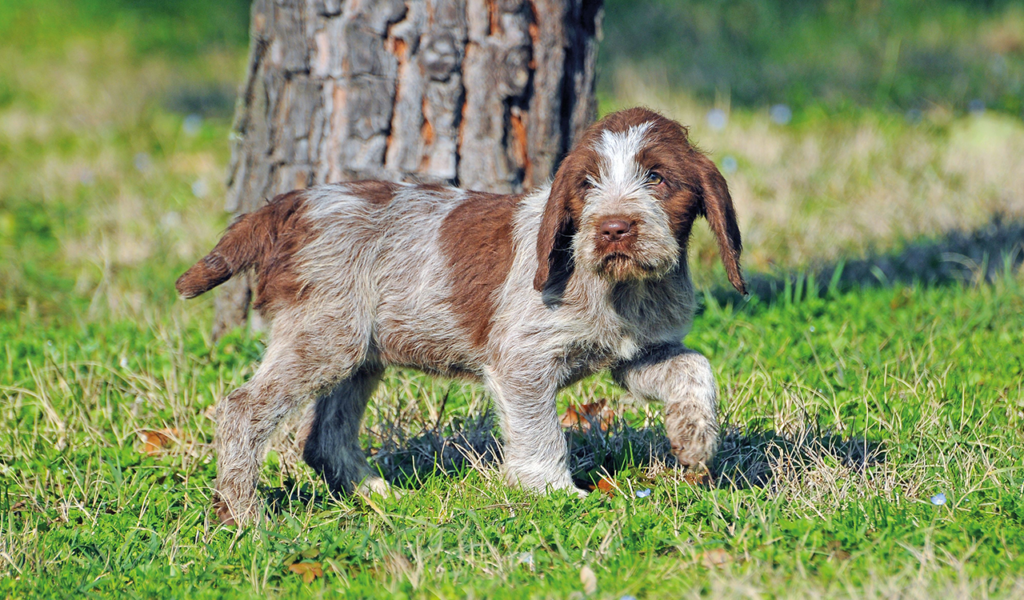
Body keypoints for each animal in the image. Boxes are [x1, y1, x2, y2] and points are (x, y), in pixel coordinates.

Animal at [176, 107, 745, 524]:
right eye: (586, 184)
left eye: (658, 177)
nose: (614, 229)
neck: (624, 289)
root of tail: (291, 204)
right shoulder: (522, 362)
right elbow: (540, 432)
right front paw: (555, 493)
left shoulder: (638, 354)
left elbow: (695, 367)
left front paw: (695, 438)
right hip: (325, 338)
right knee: (242, 409)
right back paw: (244, 514)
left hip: (356, 351)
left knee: (323, 436)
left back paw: (373, 492)